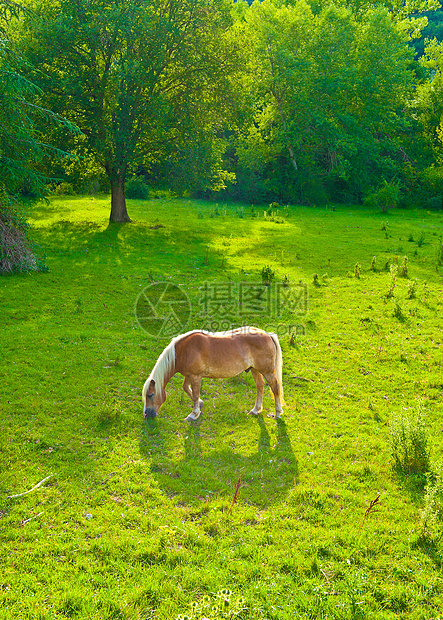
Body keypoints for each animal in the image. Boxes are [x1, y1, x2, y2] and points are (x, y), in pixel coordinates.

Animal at [142, 324, 284, 422]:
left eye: (150, 395)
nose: (147, 415)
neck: (182, 351)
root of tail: (267, 334)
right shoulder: (189, 375)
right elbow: (186, 388)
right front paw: (200, 404)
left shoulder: (195, 376)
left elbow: (195, 394)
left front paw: (193, 414)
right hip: (254, 370)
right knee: (260, 385)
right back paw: (255, 410)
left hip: (267, 372)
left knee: (275, 387)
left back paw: (277, 413)